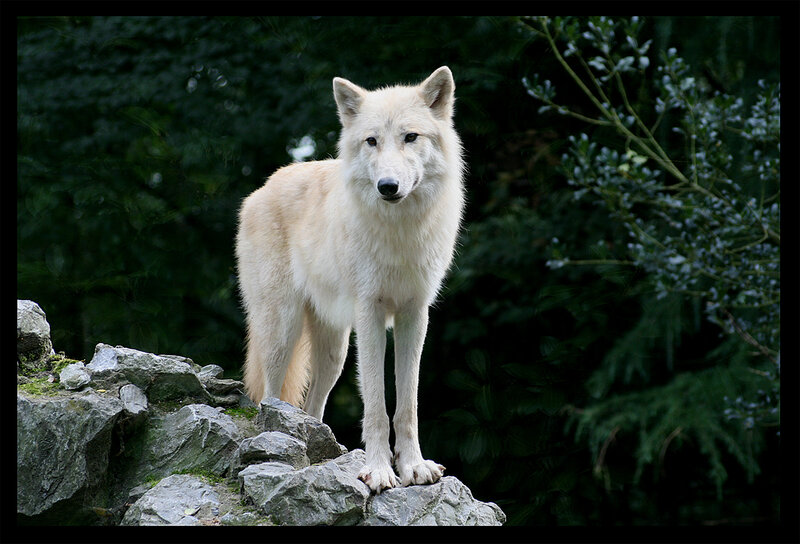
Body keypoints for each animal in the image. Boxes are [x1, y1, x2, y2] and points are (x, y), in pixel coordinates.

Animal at [235, 67, 465, 493]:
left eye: (410, 137)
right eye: (371, 141)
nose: (387, 187)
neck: (400, 232)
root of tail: (264, 186)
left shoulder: (414, 314)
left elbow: (407, 403)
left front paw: (413, 468)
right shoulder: (370, 314)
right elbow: (375, 403)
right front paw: (378, 470)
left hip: (334, 353)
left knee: (312, 404)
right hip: (282, 331)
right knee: (269, 394)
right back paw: (275, 440)